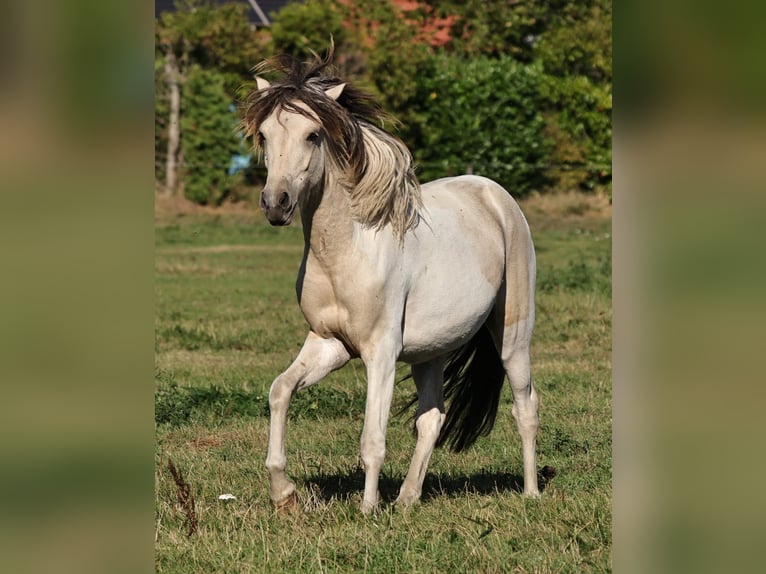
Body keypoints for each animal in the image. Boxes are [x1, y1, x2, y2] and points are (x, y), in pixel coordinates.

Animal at [243, 50, 540, 514]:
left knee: (525, 408)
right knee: (432, 418)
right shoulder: (329, 344)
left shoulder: (379, 353)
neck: (348, 249)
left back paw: (530, 493)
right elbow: (280, 391)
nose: (276, 204)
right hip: (431, 351)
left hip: (513, 337)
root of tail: (496, 195)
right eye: (265, 135)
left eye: (313, 135)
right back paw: (407, 499)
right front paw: (284, 493)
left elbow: (372, 438)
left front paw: (367, 510)